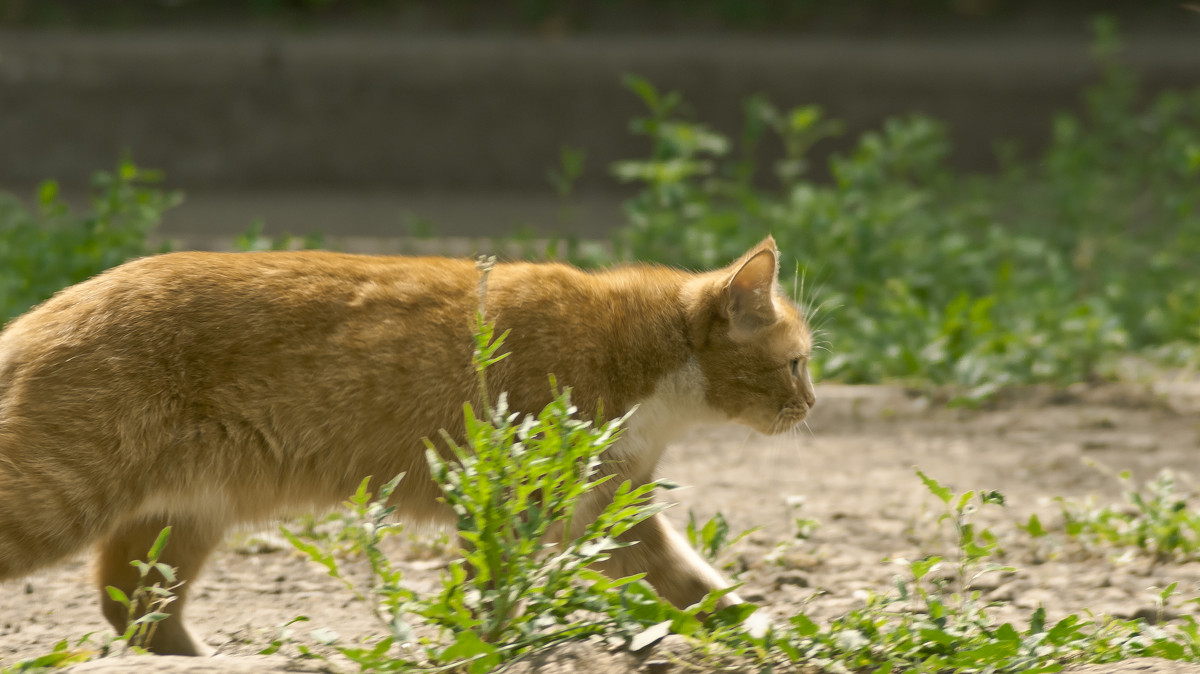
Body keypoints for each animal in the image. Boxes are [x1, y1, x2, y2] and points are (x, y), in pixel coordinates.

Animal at [0, 235, 816, 652]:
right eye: (798, 363)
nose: (811, 405)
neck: (646, 361)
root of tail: (44, 312)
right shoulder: (515, 508)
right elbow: (491, 603)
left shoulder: (613, 518)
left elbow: (701, 589)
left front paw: (764, 636)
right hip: (56, 499)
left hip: (186, 515)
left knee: (132, 607)